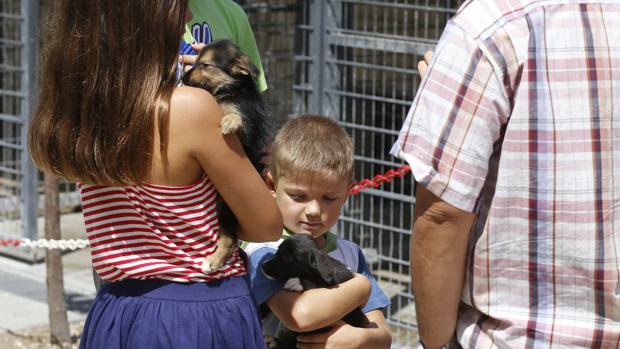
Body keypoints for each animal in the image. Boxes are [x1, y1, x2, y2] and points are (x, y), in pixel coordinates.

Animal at [182, 38, 274, 272]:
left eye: (205, 65)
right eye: (195, 61)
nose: (182, 79)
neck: (228, 91)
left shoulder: (246, 134)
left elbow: (236, 117)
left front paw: (230, 121)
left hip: (225, 206)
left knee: (230, 238)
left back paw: (213, 260)